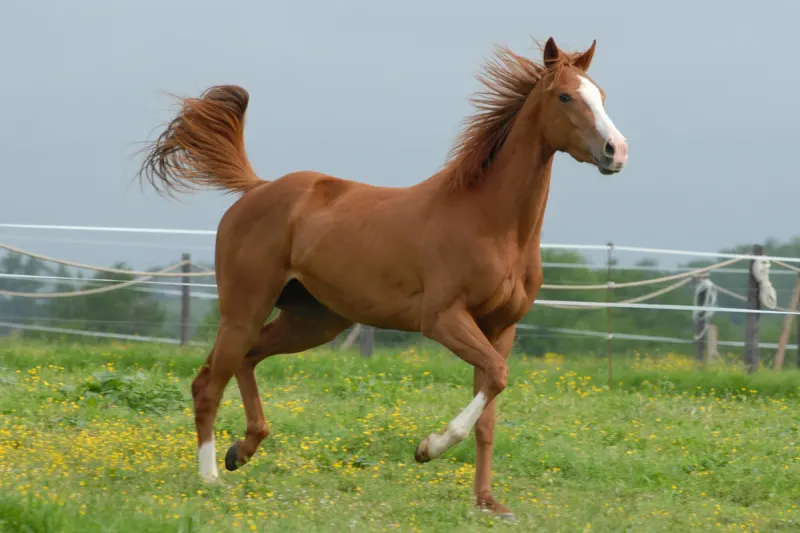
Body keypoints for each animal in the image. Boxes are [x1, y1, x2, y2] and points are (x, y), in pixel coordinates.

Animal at [136, 36, 628, 518]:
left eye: (601, 95)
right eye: (566, 96)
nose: (616, 151)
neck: (492, 225)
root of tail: (257, 189)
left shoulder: (500, 328)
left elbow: (490, 406)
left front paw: (488, 502)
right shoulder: (443, 319)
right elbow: (496, 377)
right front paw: (428, 448)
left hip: (312, 320)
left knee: (247, 359)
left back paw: (241, 450)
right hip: (245, 308)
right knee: (208, 383)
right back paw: (210, 478)